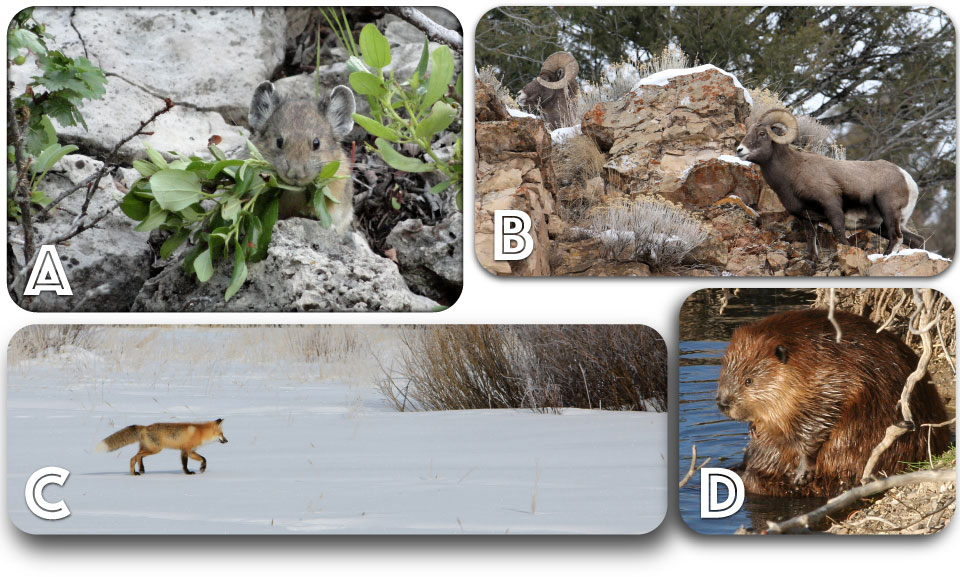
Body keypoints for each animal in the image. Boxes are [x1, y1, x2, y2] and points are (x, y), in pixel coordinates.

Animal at [96, 416, 228, 474]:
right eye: (222, 434)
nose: (227, 441)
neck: (200, 433)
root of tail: (144, 427)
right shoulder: (185, 450)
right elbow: (185, 464)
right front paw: (188, 473)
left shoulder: (191, 451)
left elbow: (204, 459)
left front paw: (202, 468)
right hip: (155, 449)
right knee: (135, 457)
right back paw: (137, 471)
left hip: (149, 449)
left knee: (136, 457)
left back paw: (138, 471)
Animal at [716, 308, 948, 498]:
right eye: (724, 369)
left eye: (748, 380)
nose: (722, 403)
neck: (805, 359)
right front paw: (753, 429)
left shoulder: (831, 381)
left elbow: (817, 423)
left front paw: (802, 472)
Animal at [736, 109, 924, 258]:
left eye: (762, 133)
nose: (739, 150)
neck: (793, 171)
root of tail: (908, 180)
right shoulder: (807, 218)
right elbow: (811, 241)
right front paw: (812, 259)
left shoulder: (832, 207)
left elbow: (840, 237)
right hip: (881, 225)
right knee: (916, 240)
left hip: (889, 213)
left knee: (896, 237)